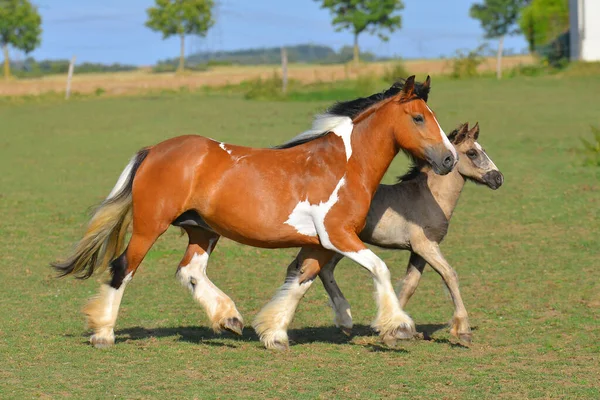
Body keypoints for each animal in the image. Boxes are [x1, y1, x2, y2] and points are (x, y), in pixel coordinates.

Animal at [52, 76, 454, 350]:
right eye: (418, 118)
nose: (449, 159)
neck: (343, 164)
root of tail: (154, 150)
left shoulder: (320, 243)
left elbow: (301, 280)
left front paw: (274, 332)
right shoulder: (338, 236)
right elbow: (379, 269)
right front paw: (398, 326)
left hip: (203, 230)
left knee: (190, 271)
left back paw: (228, 317)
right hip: (151, 227)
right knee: (123, 268)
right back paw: (104, 332)